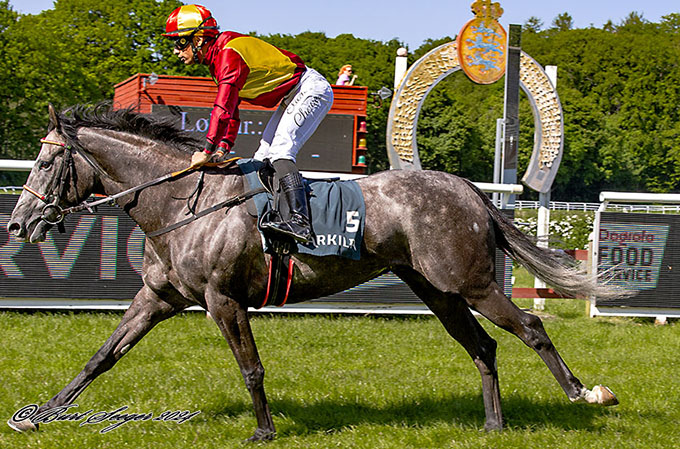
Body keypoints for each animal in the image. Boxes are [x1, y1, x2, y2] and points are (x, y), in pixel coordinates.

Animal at [6, 103, 620, 440]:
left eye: (46, 161)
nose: (17, 222)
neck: (182, 202)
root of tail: (469, 190)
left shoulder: (223, 299)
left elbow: (251, 369)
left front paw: (263, 431)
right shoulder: (158, 298)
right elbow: (101, 357)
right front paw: (37, 415)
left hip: (470, 282)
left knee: (531, 328)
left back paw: (586, 394)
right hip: (438, 290)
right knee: (483, 346)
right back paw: (493, 424)